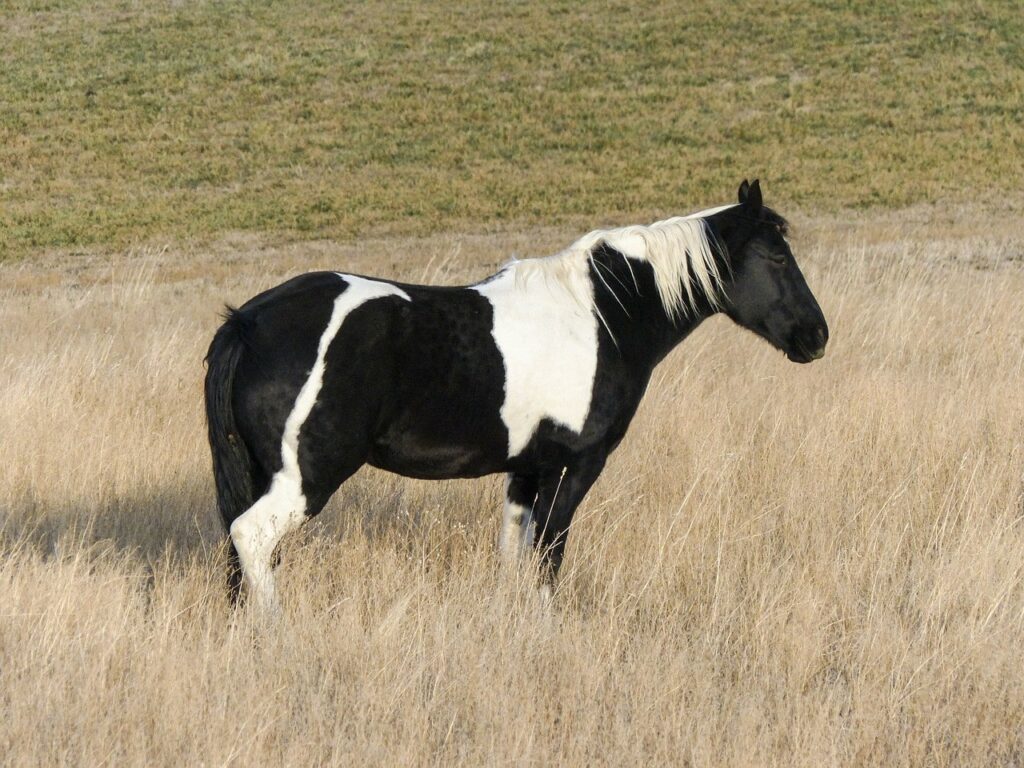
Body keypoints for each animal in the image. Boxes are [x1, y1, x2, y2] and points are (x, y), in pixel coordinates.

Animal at [205, 179, 828, 612]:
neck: (601, 316)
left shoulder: (527, 470)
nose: (817, 337)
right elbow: (549, 553)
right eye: (777, 256)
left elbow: (514, 553)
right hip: (307, 477)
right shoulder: (576, 464)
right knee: (251, 538)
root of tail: (248, 322)